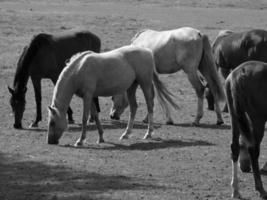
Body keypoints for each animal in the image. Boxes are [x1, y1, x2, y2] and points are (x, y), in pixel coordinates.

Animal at [47, 45, 180, 145]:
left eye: (52, 122)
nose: (50, 141)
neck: (79, 70)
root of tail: (148, 52)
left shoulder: (87, 96)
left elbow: (85, 118)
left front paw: (80, 140)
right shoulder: (90, 97)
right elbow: (95, 116)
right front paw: (101, 138)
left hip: (145, 84)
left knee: (150, 105)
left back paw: (148, 134)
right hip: (131, 87)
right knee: (133, 108)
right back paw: (126, 134)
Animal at [227, 60, 267, 198]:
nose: (244, 167)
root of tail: (239, 73)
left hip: (234, 115)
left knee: (234, 147)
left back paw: (235, 189)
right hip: (258, 119)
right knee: (253, 149)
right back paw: (260, 189)